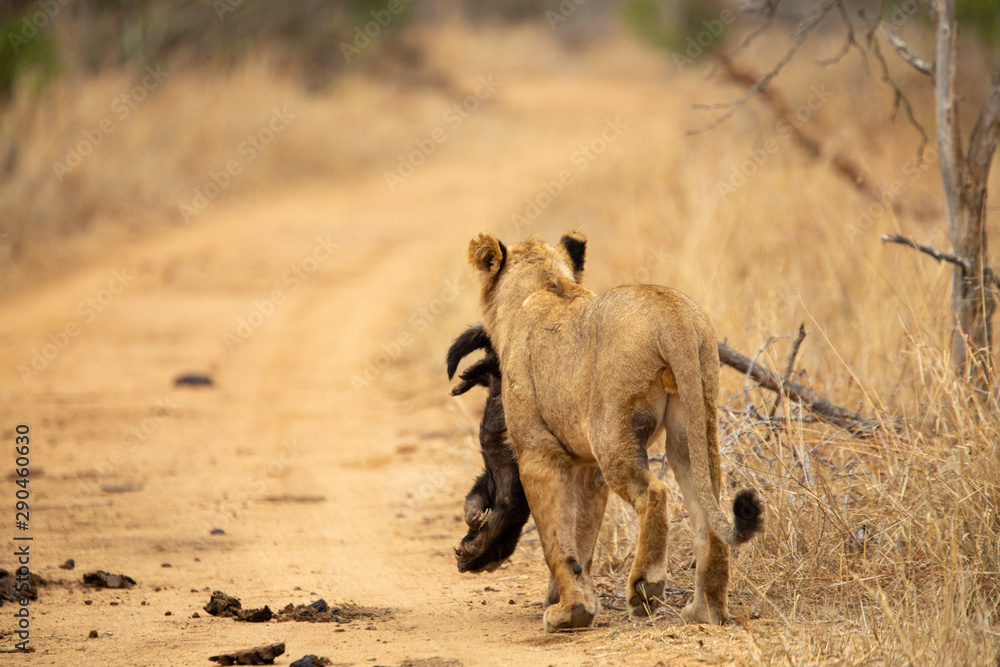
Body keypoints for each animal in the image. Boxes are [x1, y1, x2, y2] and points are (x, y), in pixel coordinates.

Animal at [466, 230, 763, 633]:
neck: (544, 284)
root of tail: (675, 316)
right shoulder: (586, 466)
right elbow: (582, 538)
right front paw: (573, 600)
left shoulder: (537, 453)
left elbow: (556, 538)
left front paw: (570, 612)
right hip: (692, 424)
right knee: (707, 505)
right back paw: (706, 611)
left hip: (612, 433)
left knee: (654, 492)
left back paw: (645, 586)